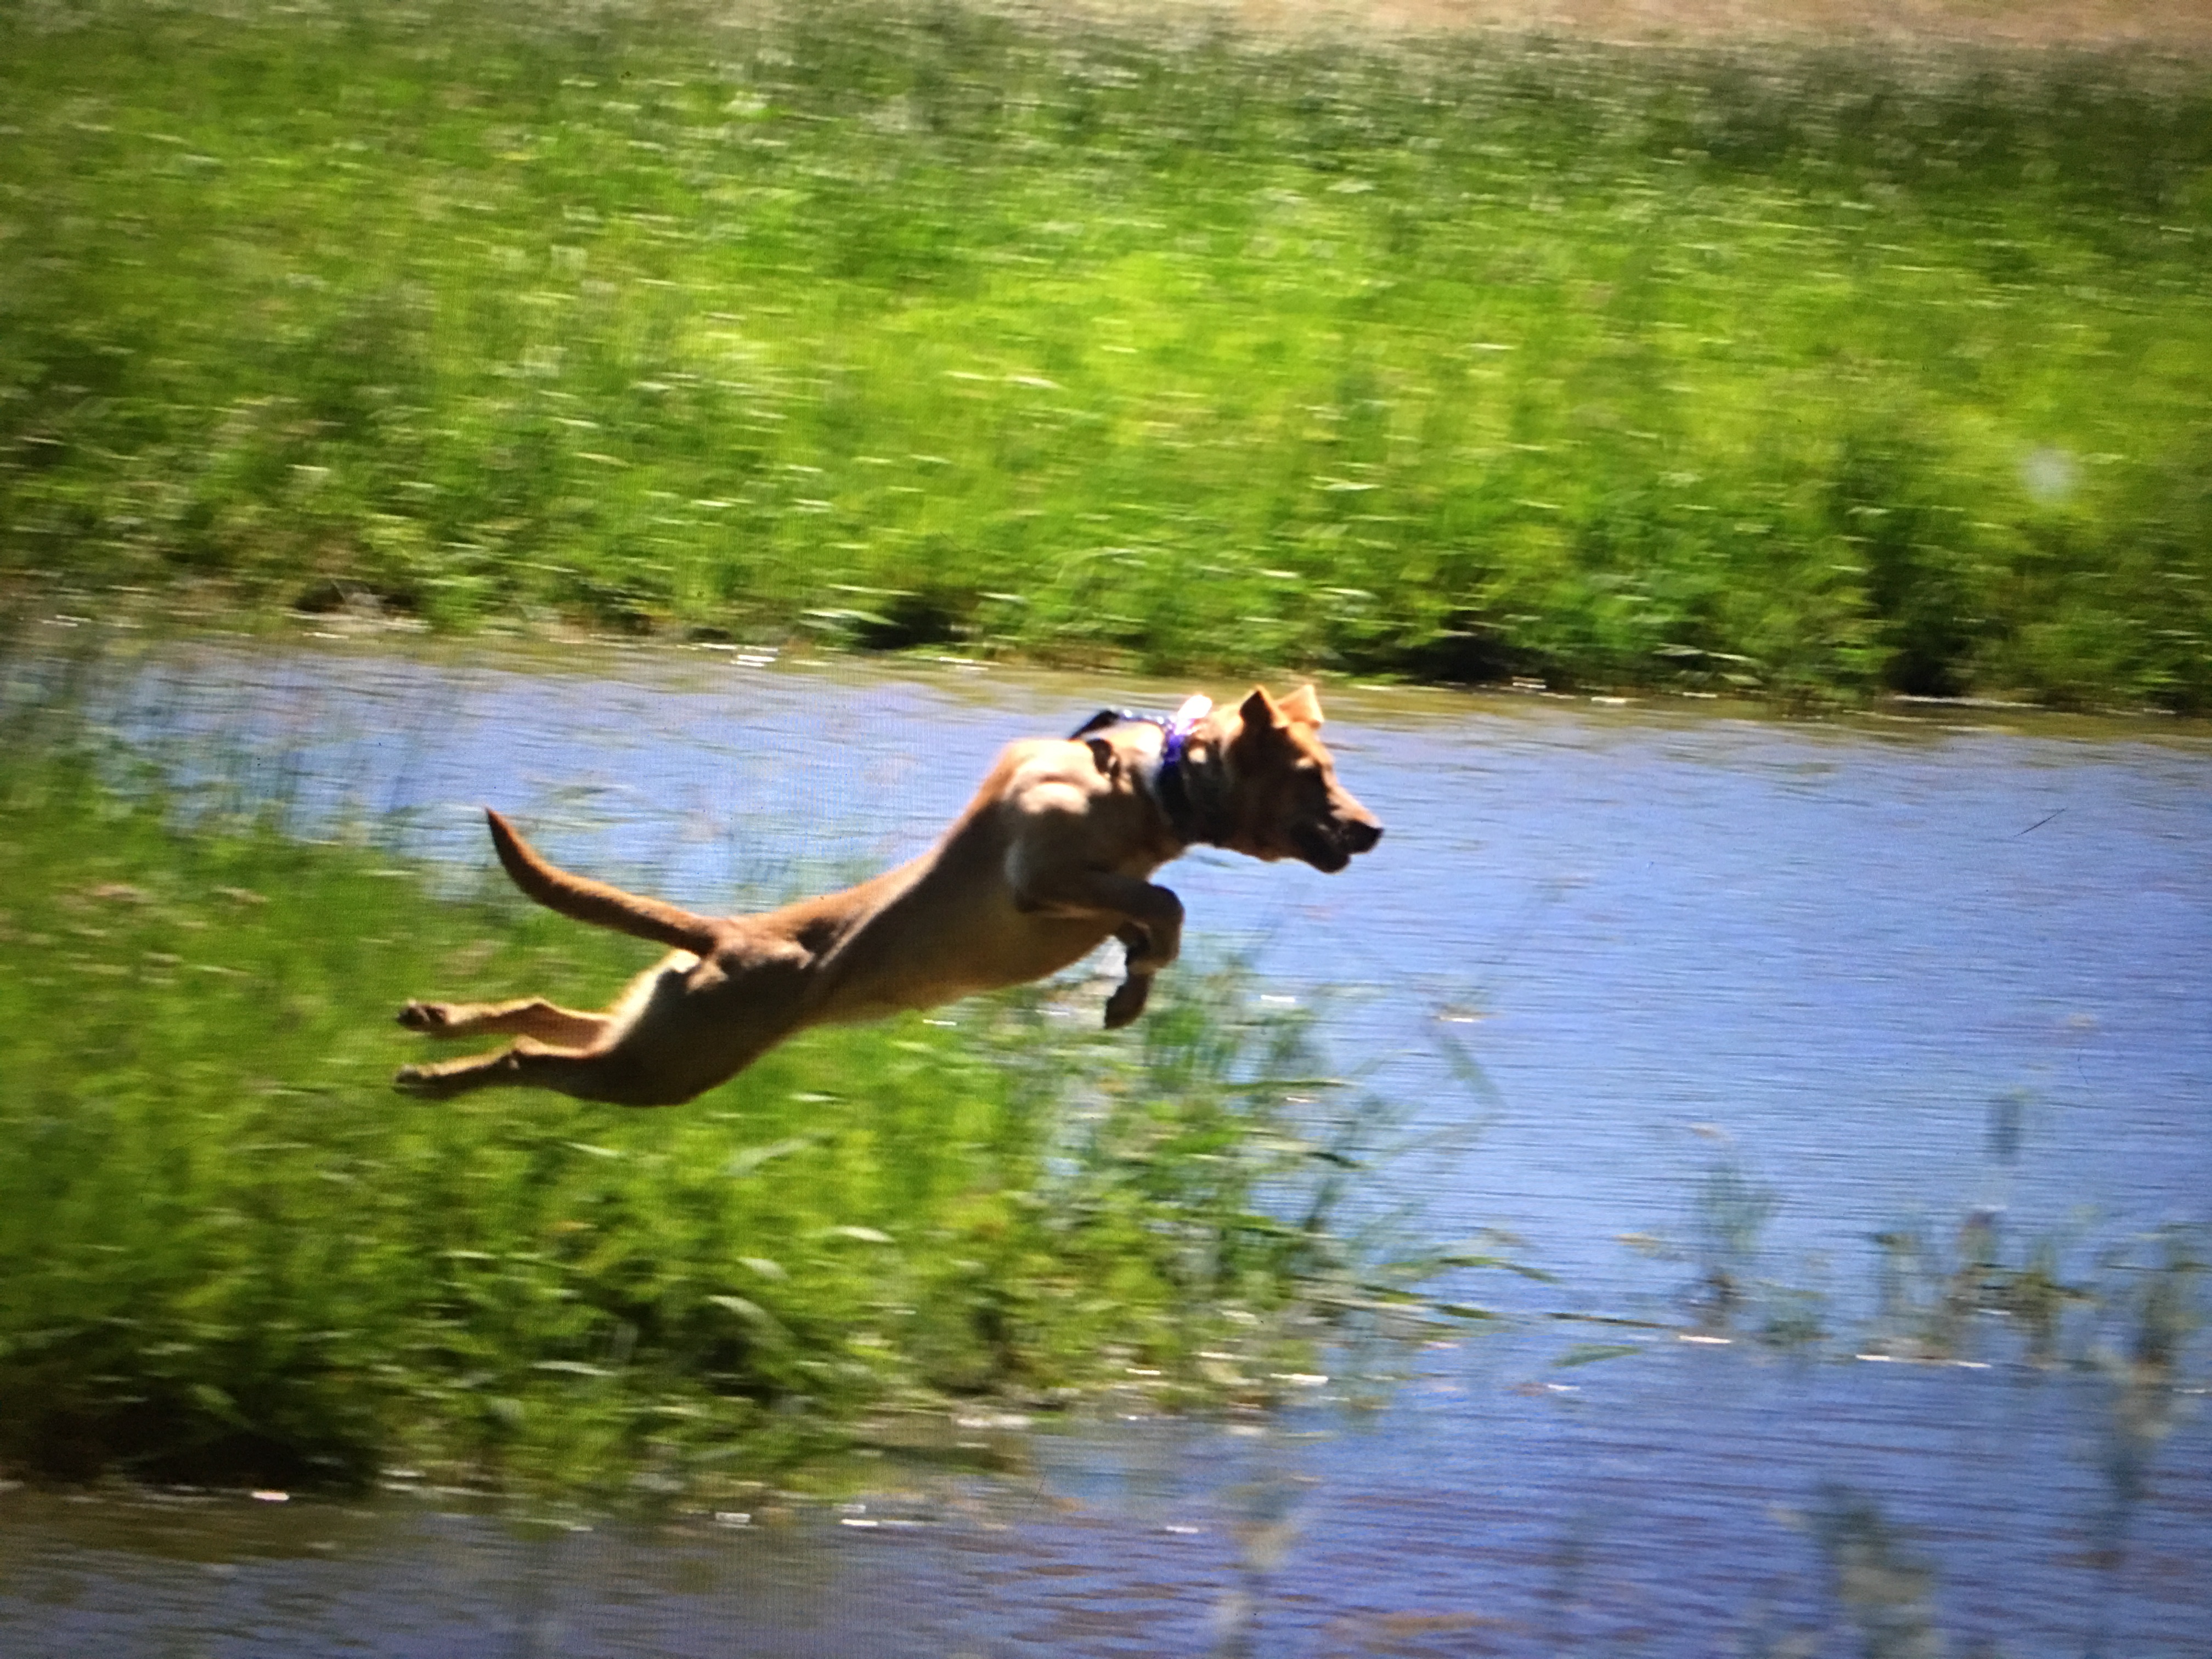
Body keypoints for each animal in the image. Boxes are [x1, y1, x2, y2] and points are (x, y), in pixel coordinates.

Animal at [389, 681, 1371, 1110]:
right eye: (1316, 778)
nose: (1374, 830)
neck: (1156, 779)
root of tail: (723, 935)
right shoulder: (1040, 880)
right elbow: (1165, 904)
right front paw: (1133, 987)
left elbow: (1154, 916)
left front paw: (1132, 988)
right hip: (662, 1069)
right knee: (532, 1055)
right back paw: (438, 1077)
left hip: (659, 1032)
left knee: (547, 1013)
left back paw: (437, 1019)